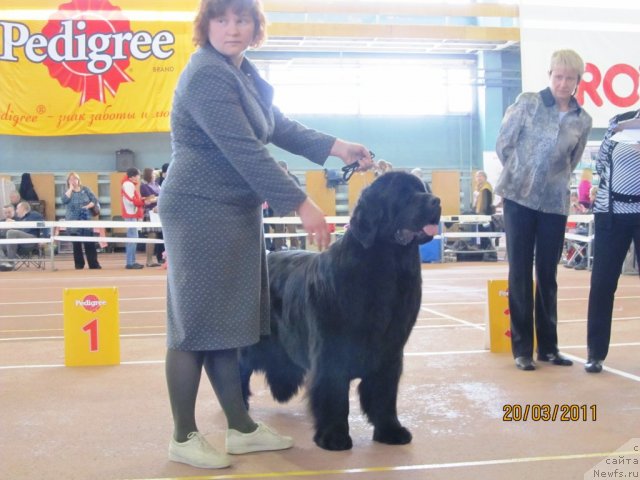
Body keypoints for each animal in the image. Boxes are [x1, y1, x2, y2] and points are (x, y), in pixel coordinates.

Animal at [239, 172, 440, 450]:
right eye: (402, 194)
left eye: (423, 189)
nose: (436, 201)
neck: (386, 270)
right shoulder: (331, 350)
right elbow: (333, 394)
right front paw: (333, 436)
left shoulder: (390, 351)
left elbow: (384, 394)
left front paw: (390, 430)